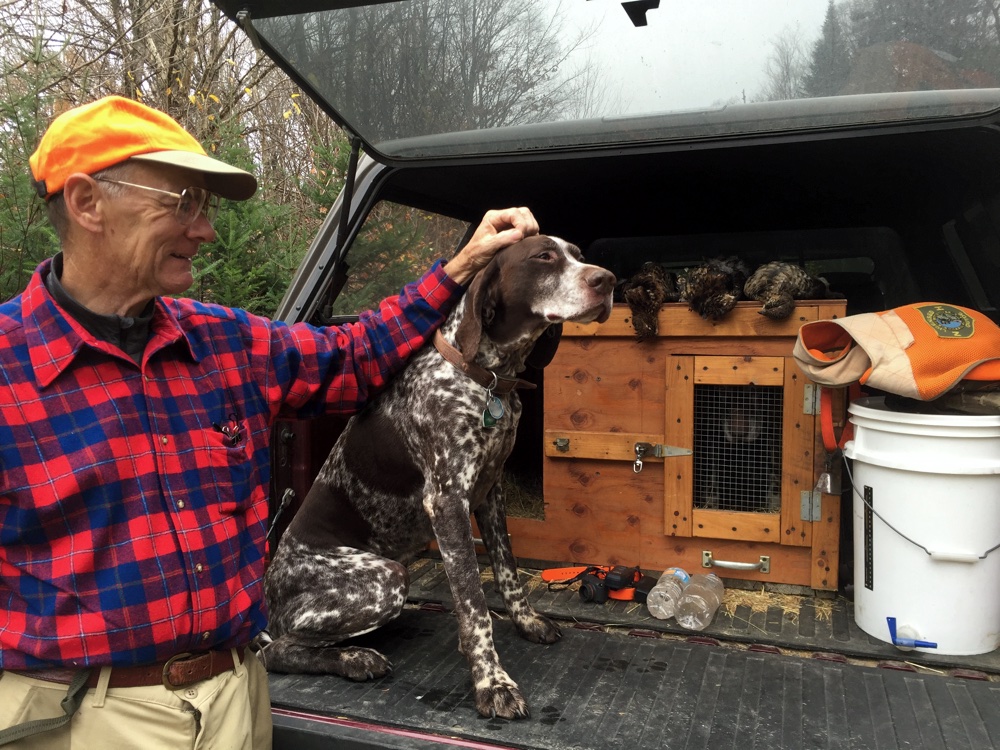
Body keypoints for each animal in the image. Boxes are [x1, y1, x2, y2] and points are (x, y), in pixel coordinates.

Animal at [262, 236, 612, 724]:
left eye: (578, 254)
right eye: (543, 257)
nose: (609, 280)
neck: (485, 376)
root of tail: (270, 592)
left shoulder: (490, 491)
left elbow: (507, 569)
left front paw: (526, 622)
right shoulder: (447, 501)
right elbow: (473, 604)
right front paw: (492, 683)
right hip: (384, 579)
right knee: (277, 649)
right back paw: (353, 659)